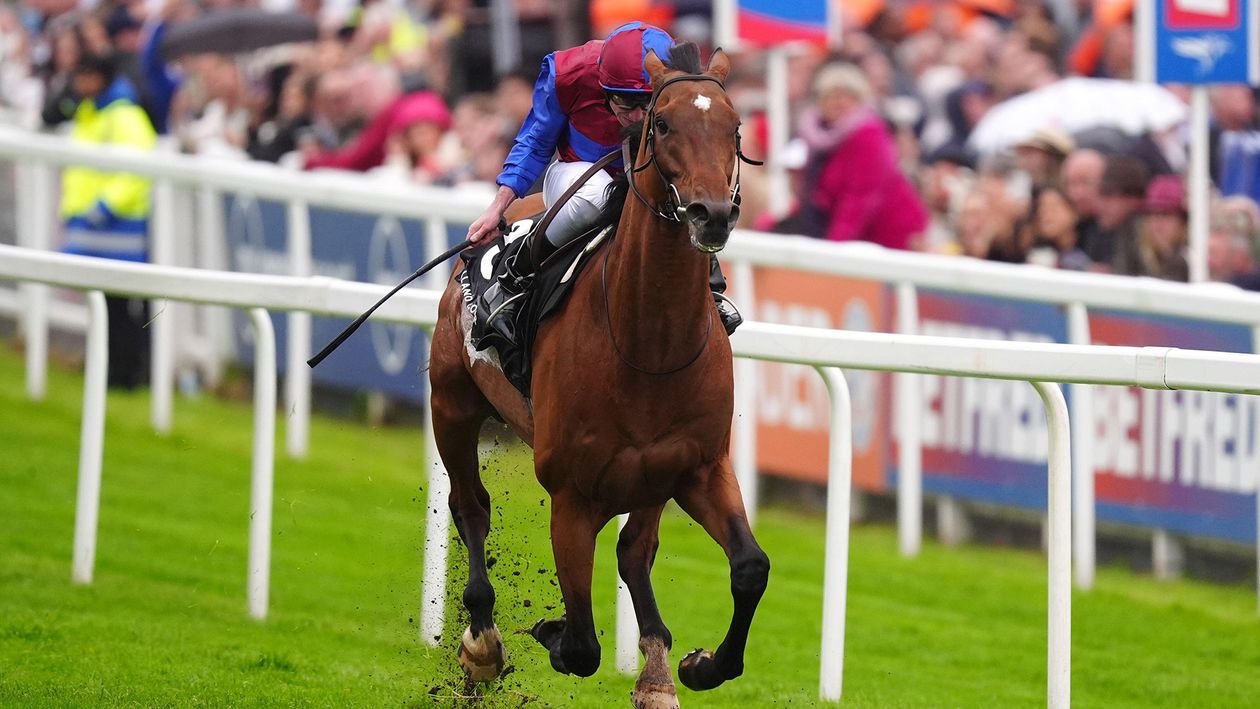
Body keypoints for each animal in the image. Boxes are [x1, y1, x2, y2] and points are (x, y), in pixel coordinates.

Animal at [428, 45, 766, 709]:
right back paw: (481, 643)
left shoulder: (697, 467)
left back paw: (656, 670)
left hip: (651, 477)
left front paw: (697, 664)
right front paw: (551, 631)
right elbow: (582, 644)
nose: (712, 214)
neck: (648, 343)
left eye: (736, 128)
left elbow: (748, 568)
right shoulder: (572, 494)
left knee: (635, 552)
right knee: (471, 506)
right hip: (451, 404)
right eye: (664, 125)